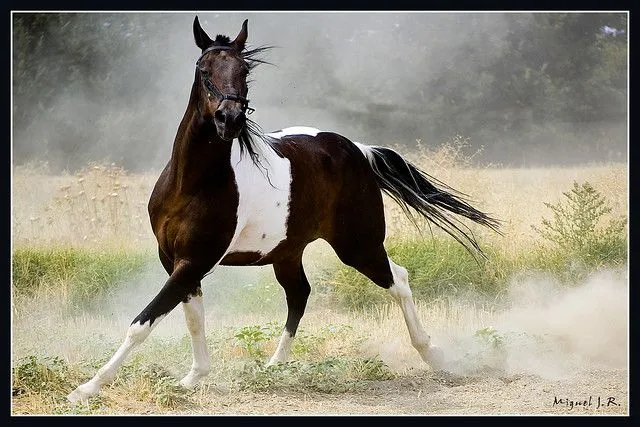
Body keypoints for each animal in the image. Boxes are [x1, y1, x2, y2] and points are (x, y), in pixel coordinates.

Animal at [68, 17, 500, 402]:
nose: (229, 119)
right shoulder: (176, 260)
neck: (191, 184)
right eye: (204, 69)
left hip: (358, 246)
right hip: (289, 251)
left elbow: (143, 323)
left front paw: (86, 389)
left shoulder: (195, 260)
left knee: (399, 280)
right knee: (300, 294)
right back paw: (275, 365)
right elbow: (192, 317)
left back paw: (434, 355)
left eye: (244, 70)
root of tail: (357, 150)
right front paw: (193, 379)